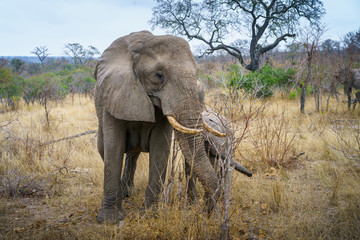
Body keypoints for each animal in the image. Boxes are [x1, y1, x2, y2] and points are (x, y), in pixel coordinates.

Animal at [93, 31, 222, 224]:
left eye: (196, 73)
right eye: (159, 75)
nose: (203, 213)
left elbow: (160, 149)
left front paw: (151, 215)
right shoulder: (114, 94)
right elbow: (113, 149)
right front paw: (110, 221)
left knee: (133, 155)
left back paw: (128, 192)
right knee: (105, 149)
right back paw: (124, 194)